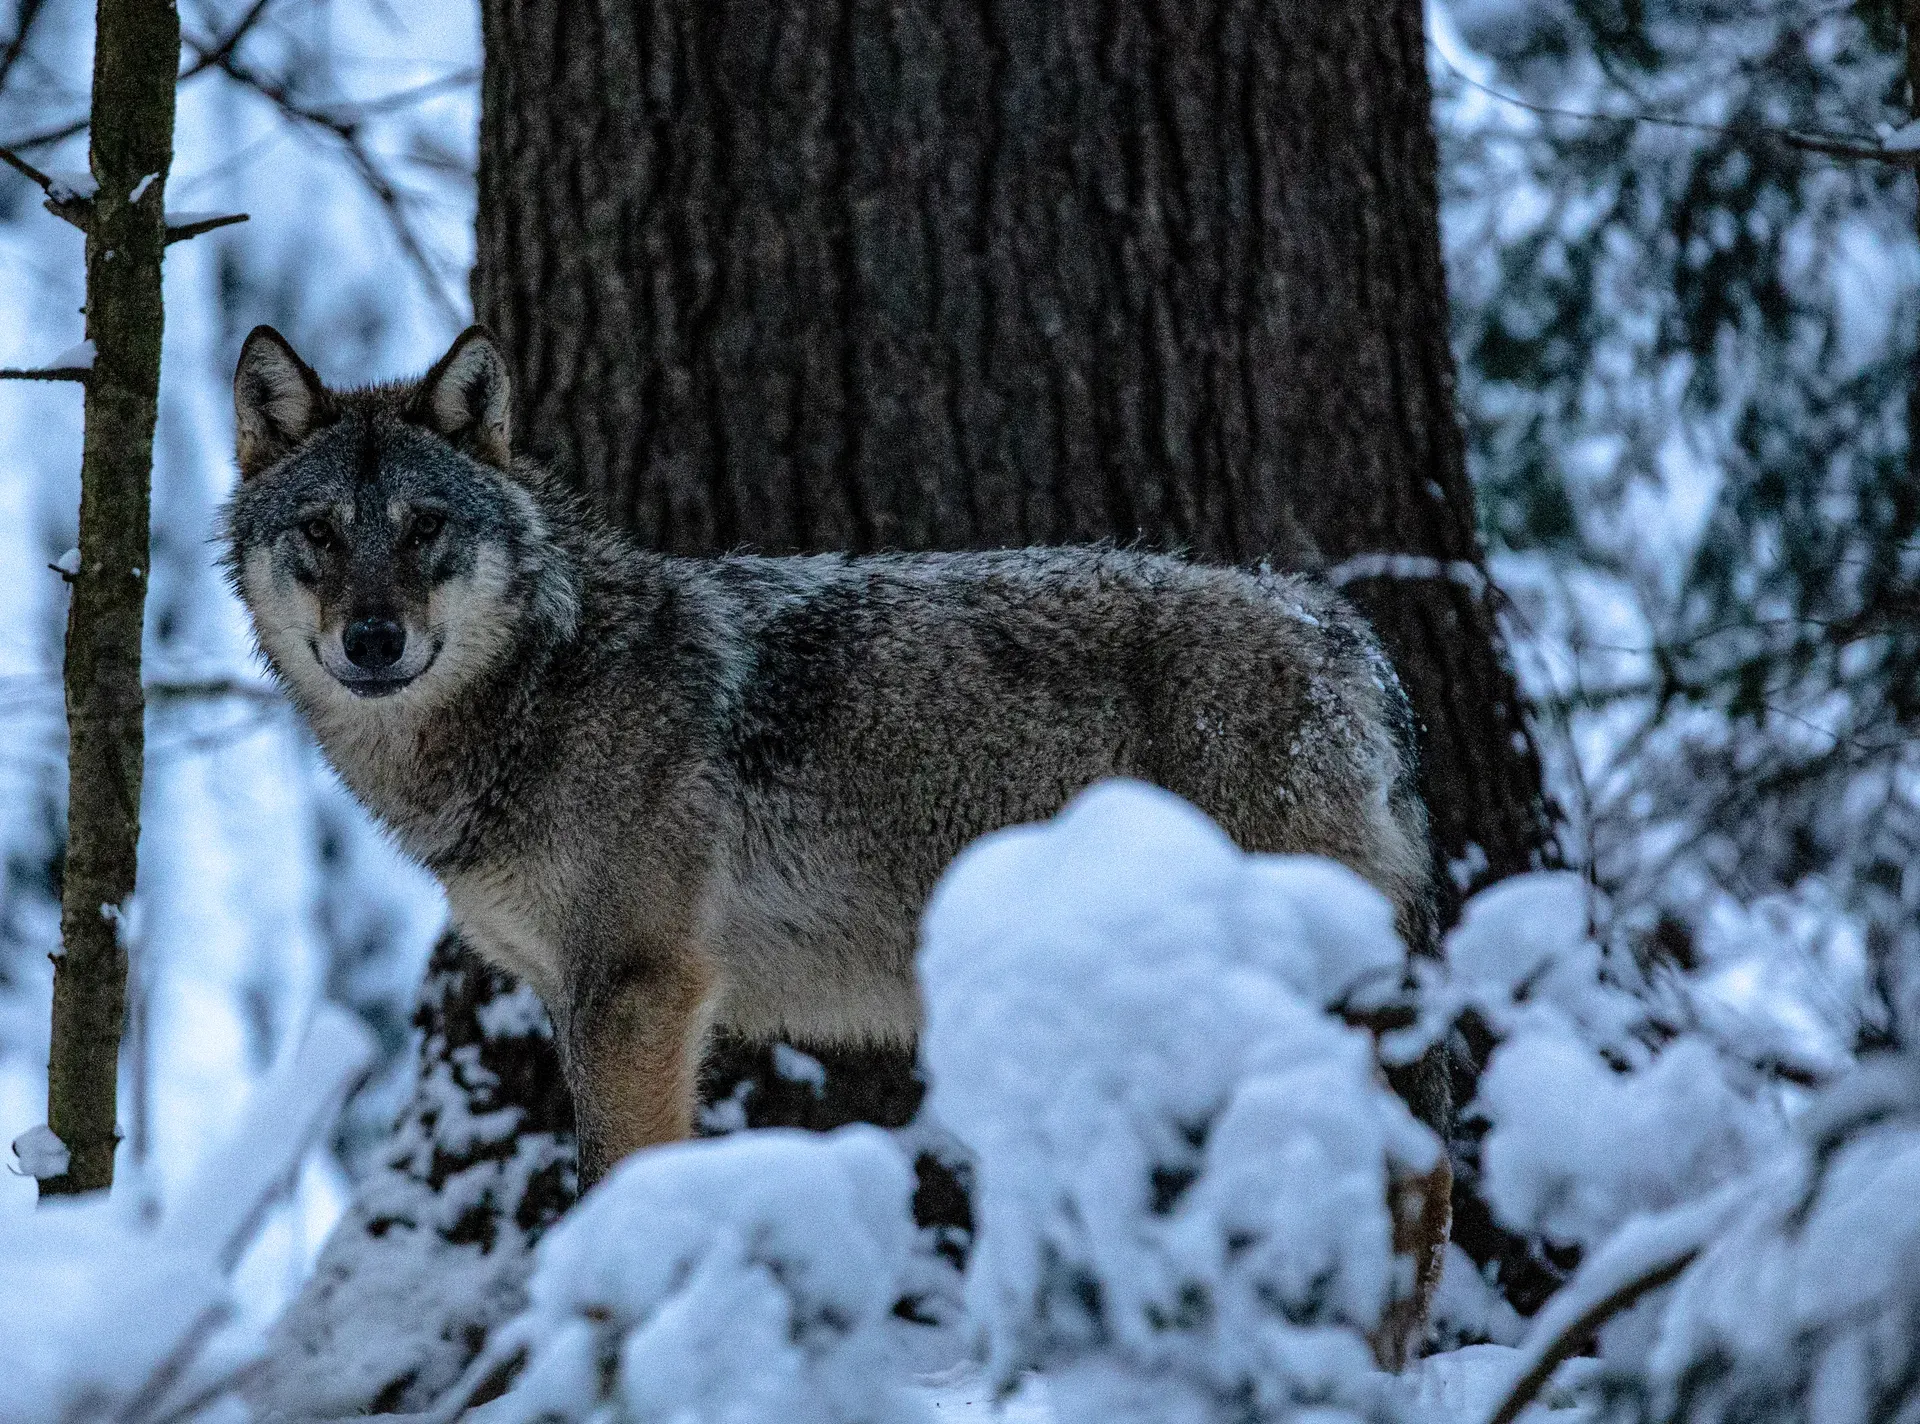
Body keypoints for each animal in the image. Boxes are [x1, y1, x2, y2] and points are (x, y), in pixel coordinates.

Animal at [223, 325, 1449, 1357]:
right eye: (321, 533)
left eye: (424, 528)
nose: (372, 639)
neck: (544, 688)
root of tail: (1345, 635)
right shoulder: (594, 999)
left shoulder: (635, 995)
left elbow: (615, 1189)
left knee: (1408, 1169)